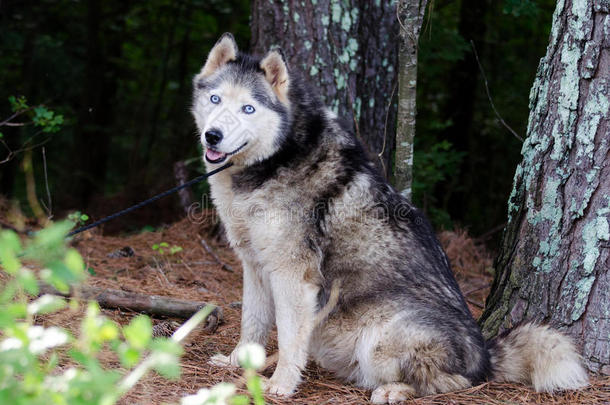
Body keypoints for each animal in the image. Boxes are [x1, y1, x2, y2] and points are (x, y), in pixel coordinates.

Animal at [192, 34, 588, 400]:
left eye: (248, 108)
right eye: (216, 100)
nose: (213, 135)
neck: (275, 159)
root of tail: (485, 358)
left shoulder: (292, 275)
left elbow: (289, 339)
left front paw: (281, 385)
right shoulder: (255, 265)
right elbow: (251, 324)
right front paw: (237, 363)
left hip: (382, 339)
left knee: (452, 383)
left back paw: (395, 391)